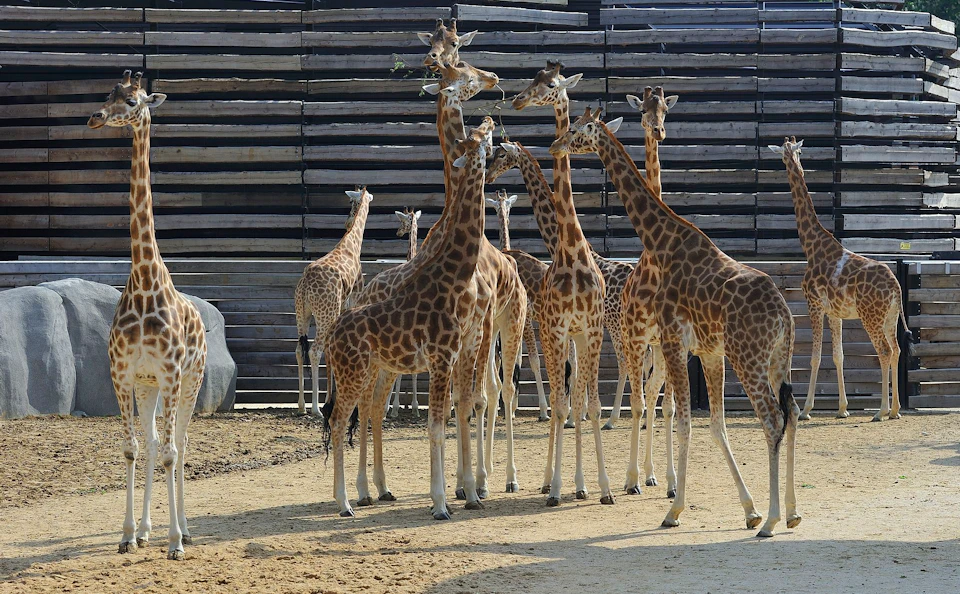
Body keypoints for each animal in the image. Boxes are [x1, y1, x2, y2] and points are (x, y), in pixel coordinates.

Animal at [294, 187, 372, 416]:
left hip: (302, 313)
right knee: (314, 351)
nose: (347, 221)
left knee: (299, 351)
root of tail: (306, 284)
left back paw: (301, 406)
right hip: (324, 314)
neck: (351, 244)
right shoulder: (352, 300)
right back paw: (315, 408)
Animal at [324, 119, 494, 519]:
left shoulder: (455, 353)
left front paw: (469, 495)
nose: (491, 122)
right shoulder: (441, 356)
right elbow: (436, 427)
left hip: (369, 370)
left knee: (360, 414)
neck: (456, 275)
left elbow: (455, 416)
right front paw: (441, 504)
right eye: (480, 139)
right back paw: (345, 502)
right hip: (355, 373)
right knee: (340, 421)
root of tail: (331, 337)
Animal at [512, 61, 634, 432]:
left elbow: (578, 388)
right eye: (532, 79)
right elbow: (570, 385)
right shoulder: (561, 325)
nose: (518, 99)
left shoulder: (584, 326)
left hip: (614, 325)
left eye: (550, 84)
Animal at [552, 106, 800, 536]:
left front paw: (674, 510)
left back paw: (771, 522)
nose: (555, 145)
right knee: (792, 412)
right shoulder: (709, 352)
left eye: (577, 130)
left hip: (748, 358)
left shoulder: (672, 340)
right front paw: (747, 508)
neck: (662, 243)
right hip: (775, 361)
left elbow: (683, 421)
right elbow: (714, 424)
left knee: (772, 420)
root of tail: (784, 314)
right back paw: (789, 513)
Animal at [770, 137, 911, 422]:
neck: (811, 246)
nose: (794, 163)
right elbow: (839, 356)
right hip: (890, 317)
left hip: (871, 316)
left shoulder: (813, 304)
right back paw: (895, 410)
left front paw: (807, 410)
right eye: (795, 153)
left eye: (786, 154)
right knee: (896, 350)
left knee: (884, 350)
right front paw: (843, 408)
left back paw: (880, 410)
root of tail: (896, 287)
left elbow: (814, 357)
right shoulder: (835, 312)